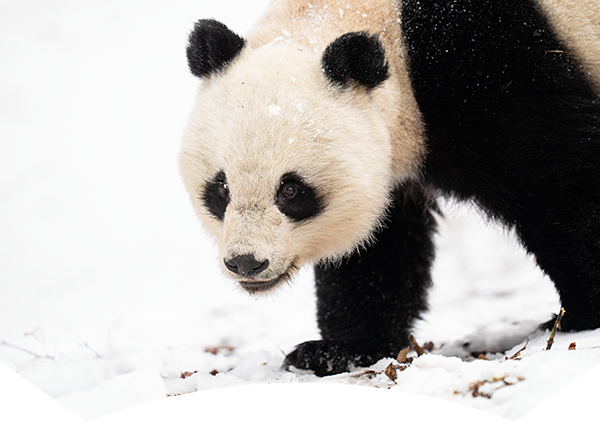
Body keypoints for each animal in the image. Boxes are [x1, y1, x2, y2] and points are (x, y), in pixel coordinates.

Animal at [180, 0, 600, 376]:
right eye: (221, 189)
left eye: (291, 191)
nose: (246, 263)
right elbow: (379, 248)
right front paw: (337, 351)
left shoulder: (488, 64)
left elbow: (559, 178)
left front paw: (579, 315)